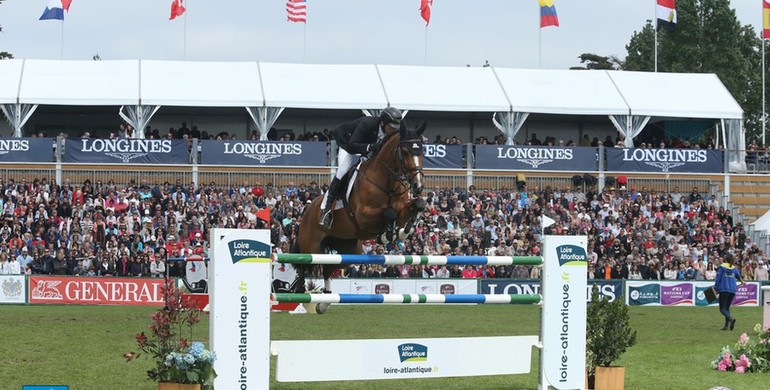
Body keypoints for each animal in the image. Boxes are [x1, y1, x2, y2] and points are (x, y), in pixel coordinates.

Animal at [292, 122, 428, 302]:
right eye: (405, 152)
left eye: (422, 151)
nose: (418, 186)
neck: (387, 183)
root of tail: (307, 211)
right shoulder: (363, 217)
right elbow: (389, 213)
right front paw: (388, 234)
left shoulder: (401, 209)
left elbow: (417, 205)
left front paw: (405, 229)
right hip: (311, 246)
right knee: (303, 263)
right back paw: (300, 290)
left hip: (349, 251)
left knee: (328, 268)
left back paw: (325, 299)